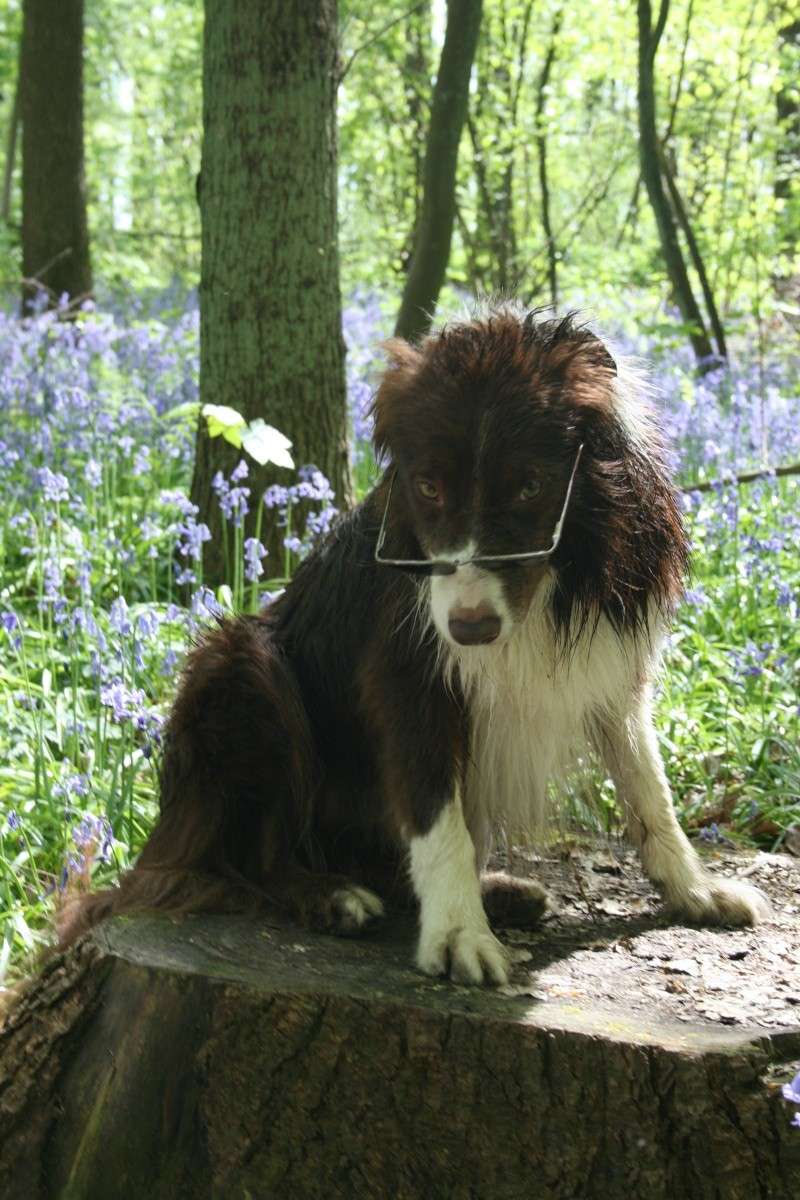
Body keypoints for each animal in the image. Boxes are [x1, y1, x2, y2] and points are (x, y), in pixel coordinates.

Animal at [61, 302, 762, 984]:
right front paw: (458, 935)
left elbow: (648, 787)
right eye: (428, 487)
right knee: (247, 856)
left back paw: (500, 891)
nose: (470, 629)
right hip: (241, 666)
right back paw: (330, 895)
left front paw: (694, 889)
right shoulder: (407, 674)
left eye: (531, 485)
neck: (551, 584)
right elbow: (434, 812)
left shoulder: (611, 668)